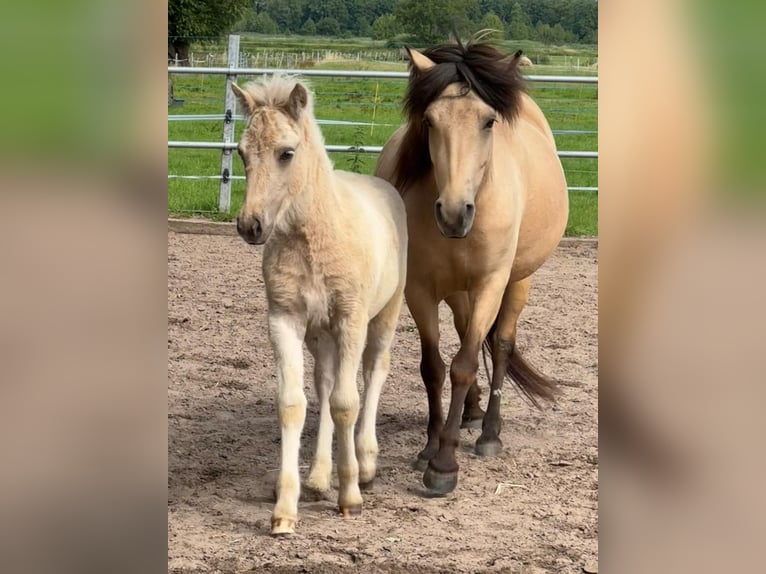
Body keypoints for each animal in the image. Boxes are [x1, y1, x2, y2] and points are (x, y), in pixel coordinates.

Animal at [232, 75, 408, 536]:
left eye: (286, 153)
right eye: (241, 152)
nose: (250, 225)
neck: (312, 237)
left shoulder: (350, 319)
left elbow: (348, 403)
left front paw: (350, 497)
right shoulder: (285, 320)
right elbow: (294, 404)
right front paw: (285, 509)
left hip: (384, 316)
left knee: (373, 372)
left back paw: (365, 463)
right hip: (319, 334)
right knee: (326, 384)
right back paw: (317, 476)